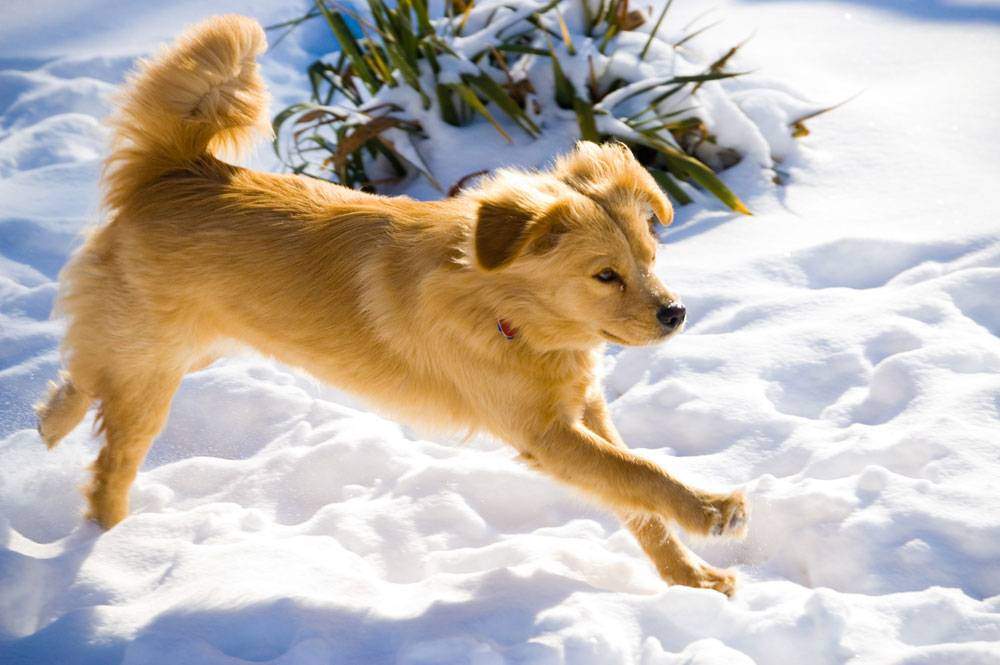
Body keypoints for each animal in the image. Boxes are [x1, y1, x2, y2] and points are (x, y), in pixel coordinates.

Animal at [35, 15, 748, 592]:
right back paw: (106, 546)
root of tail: (176, 171)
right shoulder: (545, 435)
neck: (505, 307)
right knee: (109, 459)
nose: (676, 314)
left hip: (193, 350)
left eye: (650, 260)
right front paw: (711, 509)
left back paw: (49, 422)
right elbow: (639, 473)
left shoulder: (584, 415)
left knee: (86, 373)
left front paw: (691, 581)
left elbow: (635, 501)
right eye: (605, 276)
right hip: (154, 370)